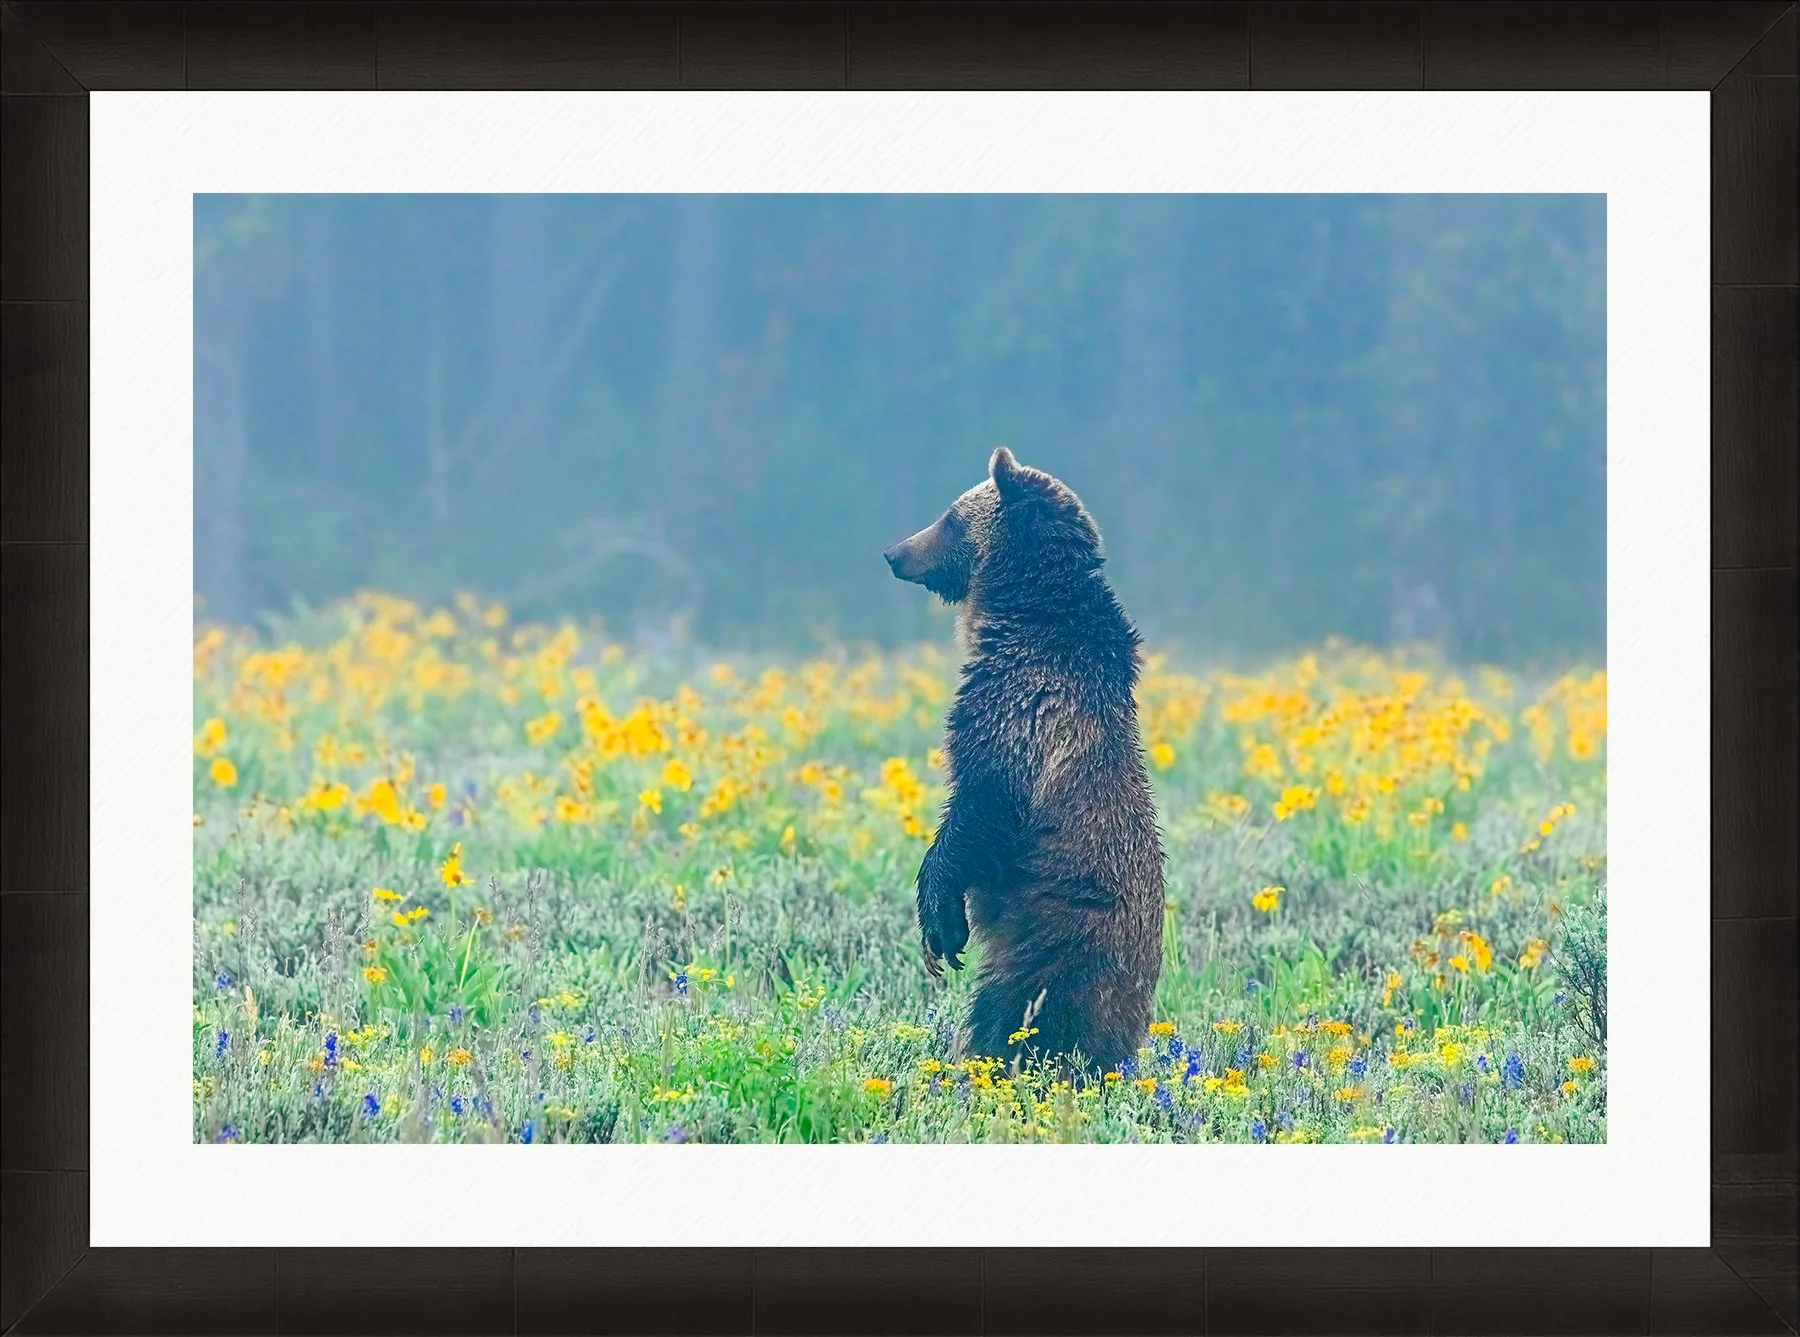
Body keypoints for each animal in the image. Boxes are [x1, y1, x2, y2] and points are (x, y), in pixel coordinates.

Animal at [883, 446, 1165, 1076]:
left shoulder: (1019, 710)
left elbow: (979, 807)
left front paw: (940, 925)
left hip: (1061, 938)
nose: (894, 553)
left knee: (1016, 1014)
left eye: (950, 517)